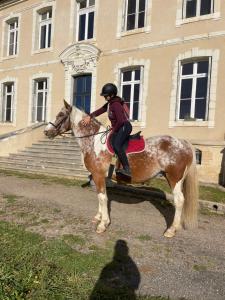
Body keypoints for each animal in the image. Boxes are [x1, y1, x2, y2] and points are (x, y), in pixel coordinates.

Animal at [44, 99, 199, 238]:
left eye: (60, 114)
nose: (46, 132)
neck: (94, 142)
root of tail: (183, 143)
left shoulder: (98, 175)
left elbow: (102, 197)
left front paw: (103, 224)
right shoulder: (98, 176)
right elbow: (101, 195)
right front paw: (99, 217)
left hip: (174, 178)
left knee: (179, 201)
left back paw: (171, 230)